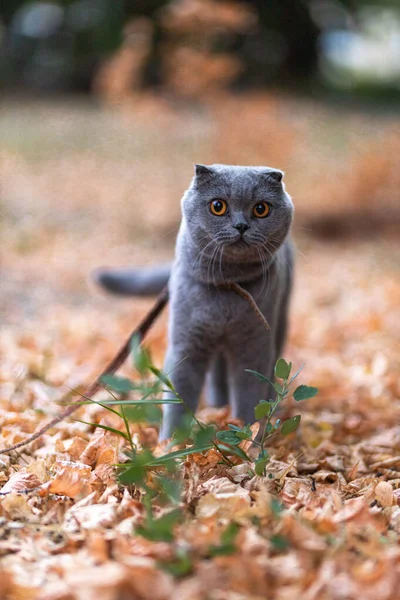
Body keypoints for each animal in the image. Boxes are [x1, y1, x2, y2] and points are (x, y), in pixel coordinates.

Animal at [94, 165, 294, 440]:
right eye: (218, 206)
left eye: (261, 209)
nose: (241, 225)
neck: (227, 285)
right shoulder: (187, 343)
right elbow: (179, 397)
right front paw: (171, 444)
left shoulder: (253, 346)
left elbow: (250, 395)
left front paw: (248, 437)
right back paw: (218, 408)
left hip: (280, 318)